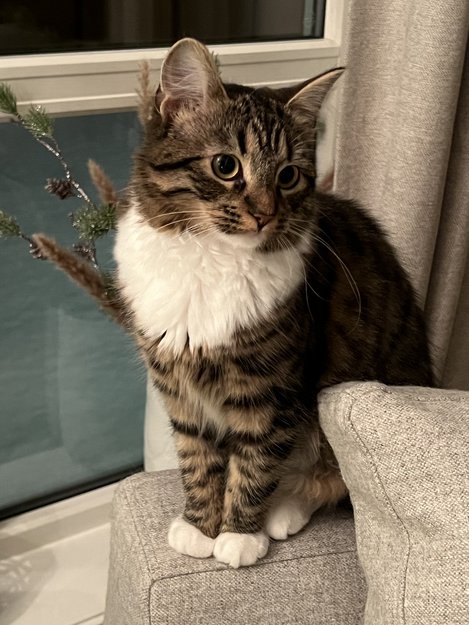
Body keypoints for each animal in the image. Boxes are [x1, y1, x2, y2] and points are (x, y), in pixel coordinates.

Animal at [113, 38, 434, 568]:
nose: (264, 214)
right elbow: (197, 460)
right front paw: (199, 526)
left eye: (287, 176)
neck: (211, 259)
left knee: (326, 480)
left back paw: (282, 512)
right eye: (226, 166)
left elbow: (255, 463)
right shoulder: (179, 389)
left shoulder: (271, 389)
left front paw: (238, 534)